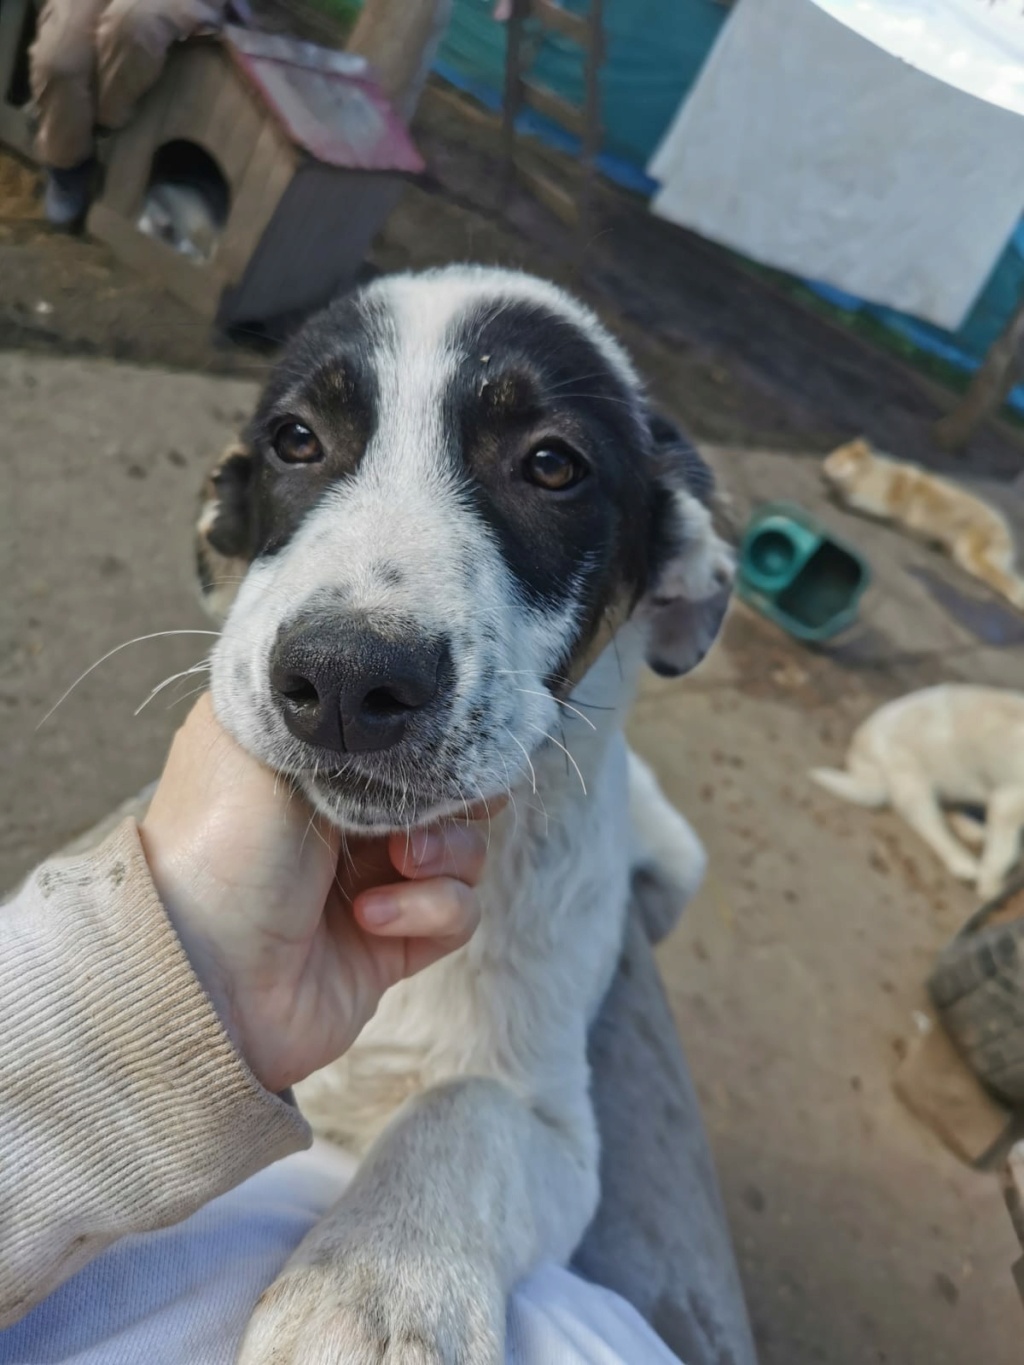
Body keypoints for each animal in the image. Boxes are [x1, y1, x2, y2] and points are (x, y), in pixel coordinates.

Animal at [196, 266, 731, 1365]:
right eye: (296, 439)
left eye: (552, 464)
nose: (345, 680)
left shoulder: (555, 1127)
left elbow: (465, 1107)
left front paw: (373, 1288)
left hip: (673, 867)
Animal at [808, 687, 1024, 900]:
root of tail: (858, 748)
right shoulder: (1008, 801)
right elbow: (1004, 852)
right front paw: (990, 886)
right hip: (911, 781)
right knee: (929, 824)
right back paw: (961, 861)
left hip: (952, 777)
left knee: (949, 805)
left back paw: (971, 828)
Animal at [824, 439, 1024, 611]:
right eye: (832, 456)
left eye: (837, 460)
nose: (823, 467)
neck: (872, 473)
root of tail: (1007, 535)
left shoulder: (882, 504)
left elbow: (851, 500)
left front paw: (838, 497)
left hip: (971, 555)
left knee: (1011, 585)